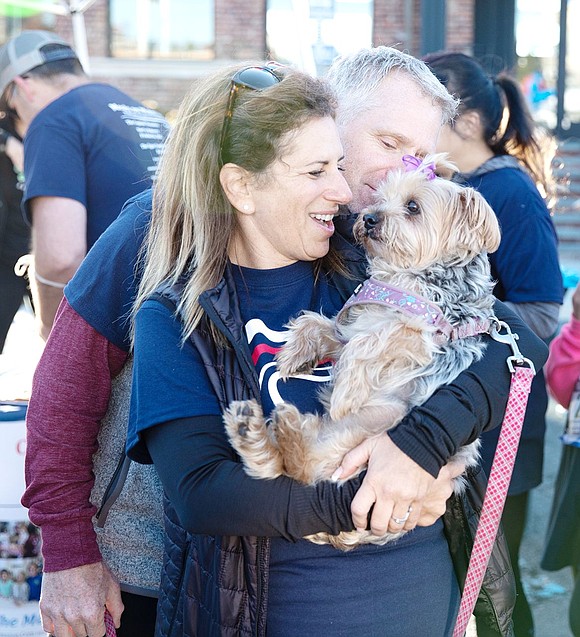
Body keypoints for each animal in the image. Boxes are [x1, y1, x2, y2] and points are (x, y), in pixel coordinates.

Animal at [224, 153, 500, 548]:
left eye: (413, 207)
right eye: (379, 197)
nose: (368, 217)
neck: (407, 277)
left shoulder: (422, 334)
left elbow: (370, 341)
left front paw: (344, 392)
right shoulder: (350, 326)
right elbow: (320, 324)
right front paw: (293, 355)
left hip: (376, 424)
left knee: (304, 469)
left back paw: (284, 430)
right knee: (290, 470)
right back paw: (255, 429)